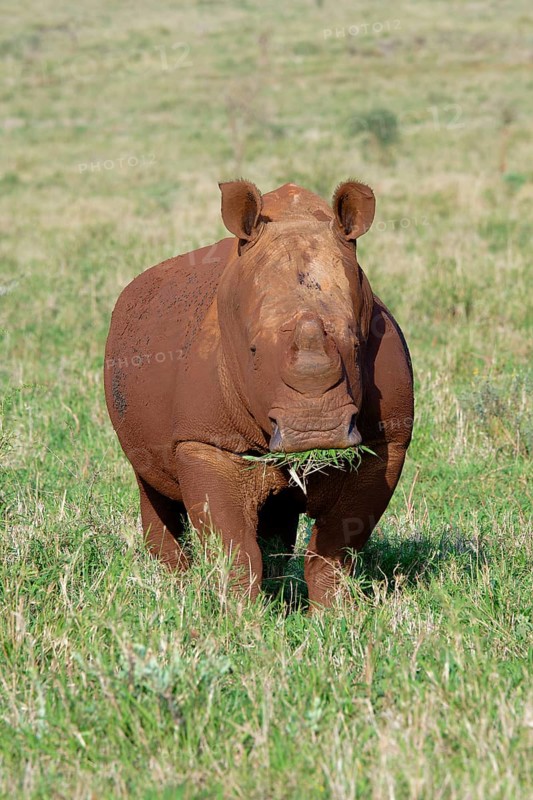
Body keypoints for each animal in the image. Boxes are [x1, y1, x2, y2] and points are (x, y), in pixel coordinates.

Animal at [104, 180, 414, 606]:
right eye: (252, 350)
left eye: (356, 345)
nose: (314, 431)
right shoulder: (205, 440)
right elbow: (234, 546)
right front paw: (239, 615)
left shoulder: (387, 442)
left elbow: (336, 546)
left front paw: (333, 613)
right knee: (151, 484)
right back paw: (172, 587)